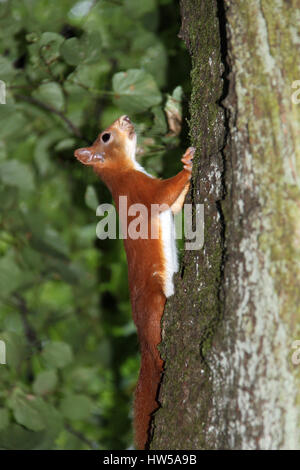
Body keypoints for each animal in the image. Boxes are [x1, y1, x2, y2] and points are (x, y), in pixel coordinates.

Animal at [74, 115, 193, 450]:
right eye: (105, 136)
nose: (125, 118)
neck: (123, 173)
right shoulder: (141, 192)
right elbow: (164, 195)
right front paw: (188, 164)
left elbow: (175, 204)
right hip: (154, 301)